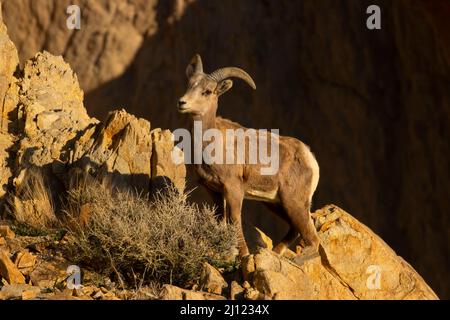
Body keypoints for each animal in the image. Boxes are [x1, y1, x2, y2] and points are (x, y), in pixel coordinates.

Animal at [178, 53, 322, 262]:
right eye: (189, 85)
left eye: (207, 91)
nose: (182, 103)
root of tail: (309, 156)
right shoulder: (214, 191)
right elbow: (221, 220)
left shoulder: (233, 189)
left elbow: (234, 221)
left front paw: (244, 256)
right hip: (275, 203)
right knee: (295, 229)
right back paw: (275, 253)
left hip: (294, 203)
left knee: (312, 238)